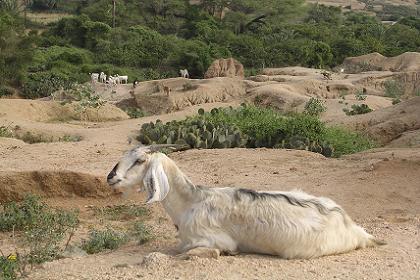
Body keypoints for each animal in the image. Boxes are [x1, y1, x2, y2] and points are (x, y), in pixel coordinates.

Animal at [106, 145, 386, 260]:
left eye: (140, 161)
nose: (111, 177)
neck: (190, 202)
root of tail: (353, 228)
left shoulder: (214, 241)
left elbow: (190, 252)